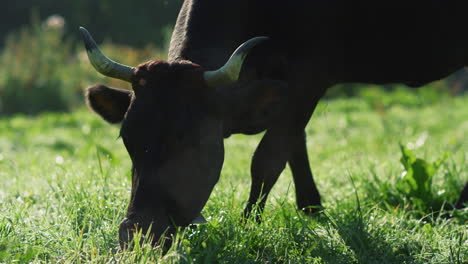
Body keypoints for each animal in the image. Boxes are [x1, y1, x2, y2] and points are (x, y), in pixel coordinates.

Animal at [80, 0, 468, 248]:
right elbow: (295, 144)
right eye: (127, 139)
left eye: (193, 141)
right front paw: (312, 208)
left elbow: (267, 159)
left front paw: (248, 225)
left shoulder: (310, 75)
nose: (137, 234)